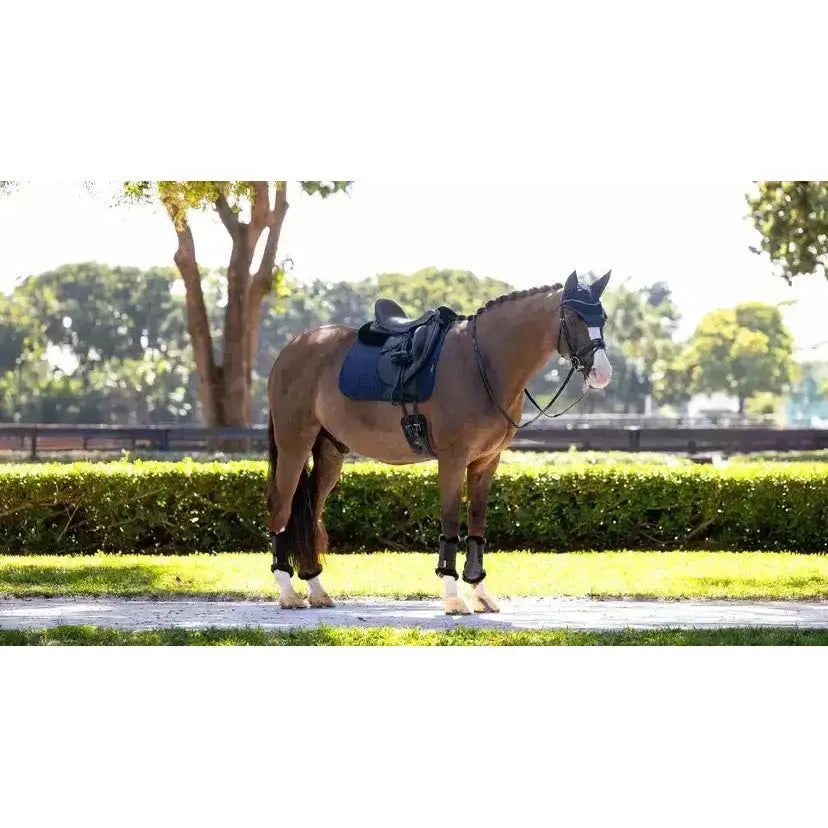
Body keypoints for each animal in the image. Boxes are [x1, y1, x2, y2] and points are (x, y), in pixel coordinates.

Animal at [264, 270, 613, 614]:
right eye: (573, 316)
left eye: (603, 317)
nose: (602, 373)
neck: (483, 364)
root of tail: (292, 348)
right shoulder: (453, 459)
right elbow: (451, 522)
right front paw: (453, 596)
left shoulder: (486, 461)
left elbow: (476, 524)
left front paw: (479, 592)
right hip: (294, 444)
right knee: (281, 507)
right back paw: (288, 592)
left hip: (329, 451)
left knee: (310, 510)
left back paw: (316, 587)